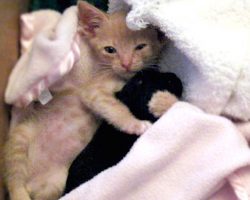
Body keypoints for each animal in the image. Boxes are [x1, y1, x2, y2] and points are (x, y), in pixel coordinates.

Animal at [3, 1, 164, 200]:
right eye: (110, 50)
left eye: (140, 46)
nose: (126, 64)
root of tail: (30, 184)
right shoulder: (93, 91)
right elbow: (115, 107)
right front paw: (134, 124)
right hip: (20, 138)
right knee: (15, 180)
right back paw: (19, 191)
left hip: (56, 184)